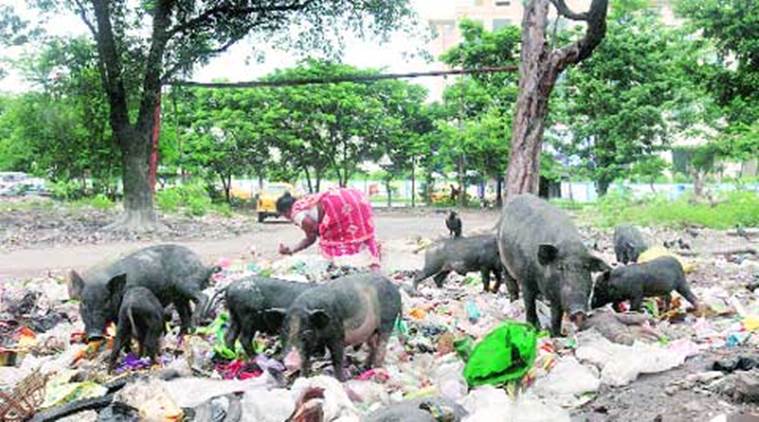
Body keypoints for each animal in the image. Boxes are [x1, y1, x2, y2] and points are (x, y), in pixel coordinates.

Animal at [67, 244, 219, 341]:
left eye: (106, 301)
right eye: (83, 303)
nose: (94, 336)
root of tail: (204, 267)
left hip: (186, 284)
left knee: (203, 297)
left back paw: (195, 323)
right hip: (179, 297)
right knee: (185, 313)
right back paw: (181, 335)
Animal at [265, 272, 401, 381]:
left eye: (307, 332)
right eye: (284, 331)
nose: (290, 362)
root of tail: (395, 289)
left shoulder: (337, 334)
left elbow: (337, 358)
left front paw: (341, 380)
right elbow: (305, 361)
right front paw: (302, 379)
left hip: (388, 320)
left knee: (382, 346)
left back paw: (377, 372)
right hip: (371, 331)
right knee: (373, 346)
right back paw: (364, 367)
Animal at [498, 194, 611, 336]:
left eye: (586, 267)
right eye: (560, 267)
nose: (579, 312)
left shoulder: (558, 294)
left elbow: (557, 315)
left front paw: (557, 335)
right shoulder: (526, 281)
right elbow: (530, 305)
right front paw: (534, 329)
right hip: (503, 259)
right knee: (510, 282)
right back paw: (514, 301)